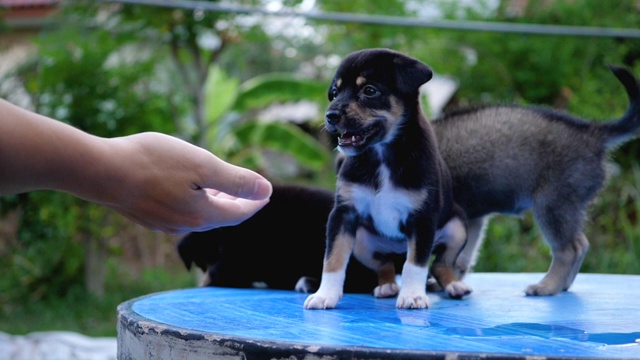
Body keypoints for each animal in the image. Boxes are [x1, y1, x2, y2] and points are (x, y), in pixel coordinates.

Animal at [302, 48, 468, 312]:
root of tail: (396, 248)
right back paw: (387, 286)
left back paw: (455, 286)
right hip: (362, 241)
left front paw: (413, 296)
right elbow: (333, 259)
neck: (381, 155)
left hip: (457, 228)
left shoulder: (422, 219)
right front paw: (324, 294)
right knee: (384, 265)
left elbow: (415, 263)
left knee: (440, 263)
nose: (330, 116)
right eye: (335, 93)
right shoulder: (343, 214)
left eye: (369, 91)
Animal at [430, 64, 640, 296]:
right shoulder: (472, 217)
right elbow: (462, 257)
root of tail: (593, 134)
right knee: (581, 243)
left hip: (552, 206)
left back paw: (547, 286)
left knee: (568, 250)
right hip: (567, 209)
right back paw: (562, 285)